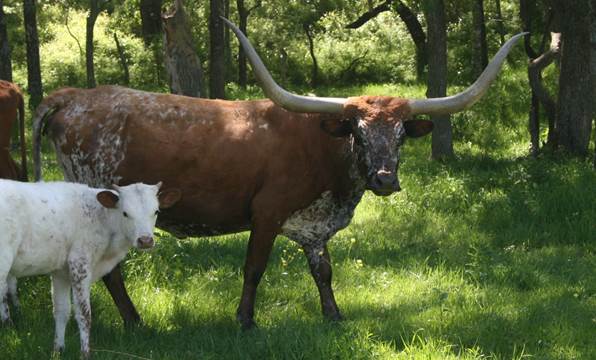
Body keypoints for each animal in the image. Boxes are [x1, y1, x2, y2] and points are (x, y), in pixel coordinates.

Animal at [0, 180, 180, 358]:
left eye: (156, 211)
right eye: (125, 213)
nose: (145, 240)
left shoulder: (60, 272)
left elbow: (61, 310)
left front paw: (57, 351)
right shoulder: (80, 264)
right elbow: (84, 314)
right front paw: (85, 353)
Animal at [35, 20, 524, 330]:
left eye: (402, 135)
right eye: (358, 134)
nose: (385, 180)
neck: (323, 152)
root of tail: (73, 96)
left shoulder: (316, 226)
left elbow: (323, 270)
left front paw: (333, 315)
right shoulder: (267, 213)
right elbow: (254, 267)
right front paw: (246, 321)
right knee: (109, 272)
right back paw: (136, 323)